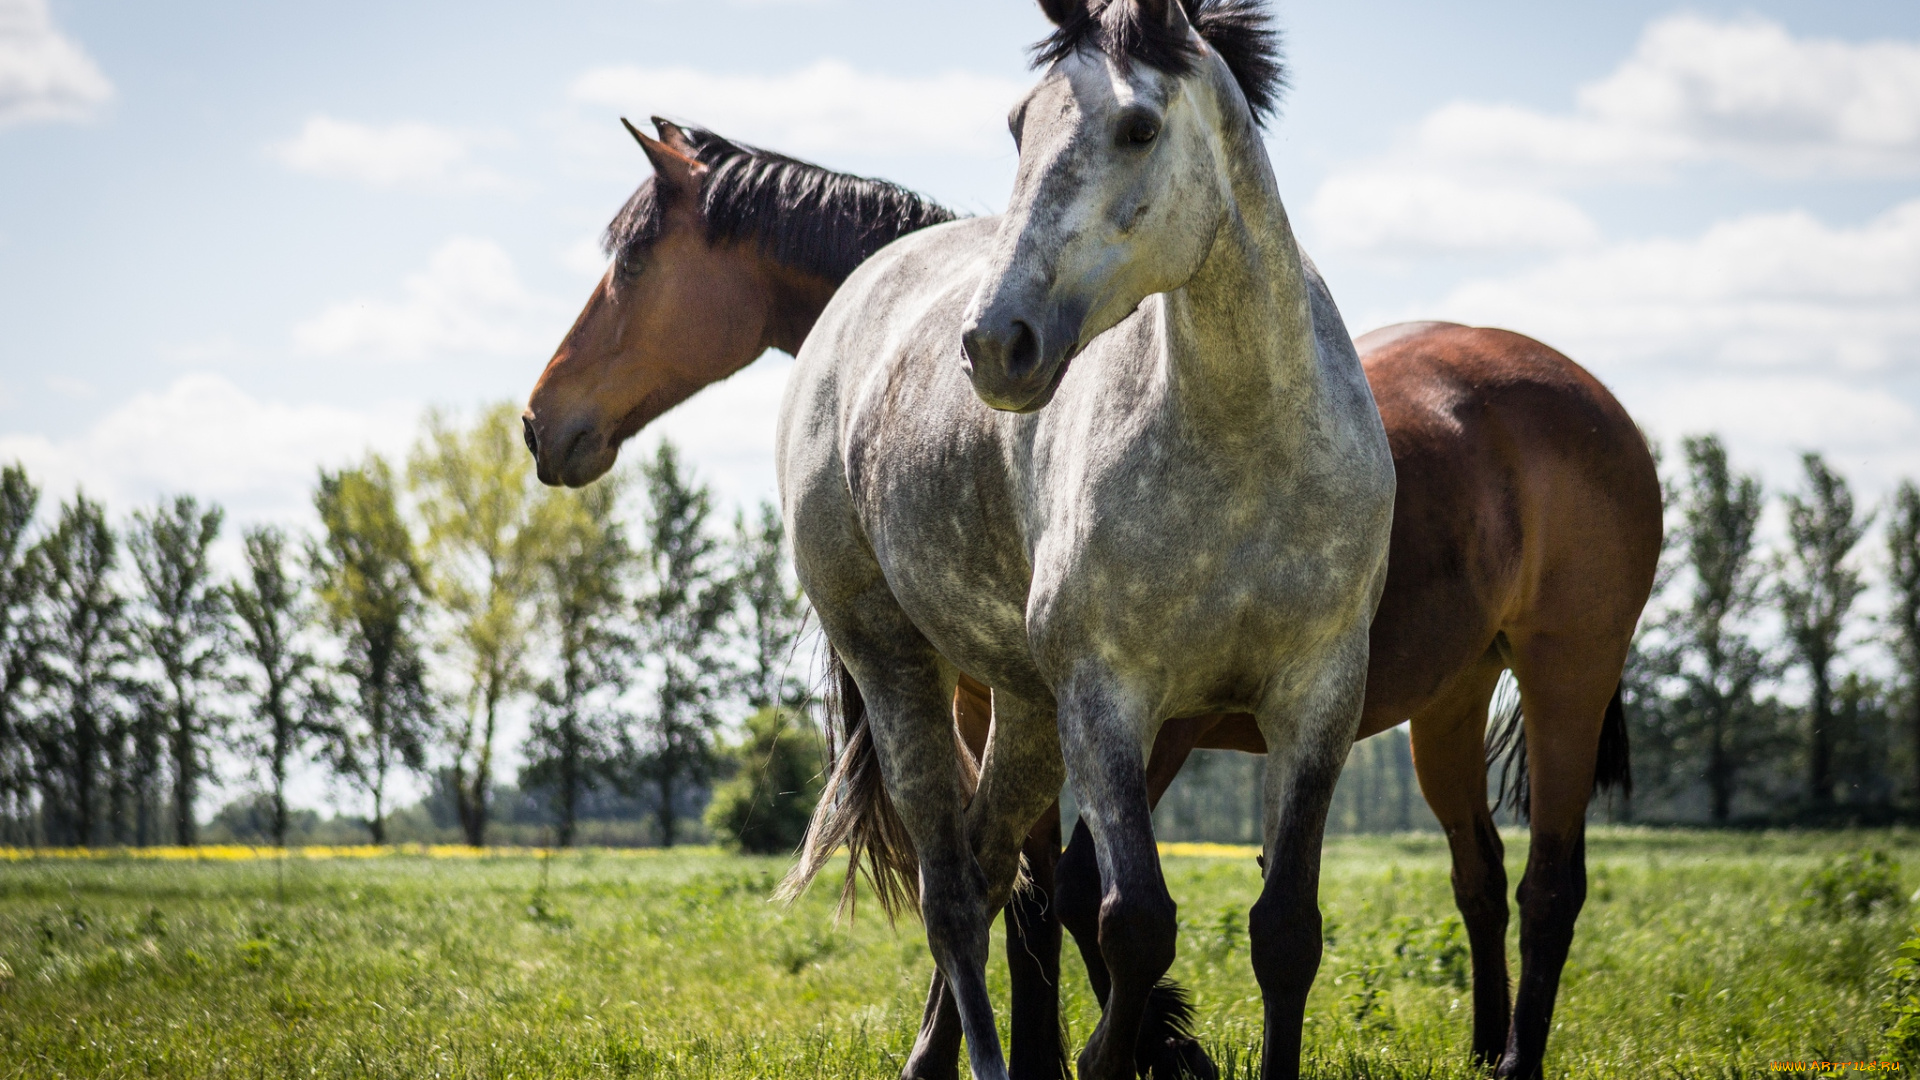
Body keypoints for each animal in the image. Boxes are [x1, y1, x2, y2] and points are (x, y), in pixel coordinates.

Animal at [518, 119, 1658, 1076]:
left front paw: (1129, 1048)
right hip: (1450, 705)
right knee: (1480, 876)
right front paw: (1013, 1051)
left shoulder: (1139, 722)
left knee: (1550, 886)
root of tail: (1584, 394)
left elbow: (1067, 895)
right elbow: (1015, 894)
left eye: (631, 262)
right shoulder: (1014, 706)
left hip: (1565, 674)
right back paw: (1485, 1046)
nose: (538, 421)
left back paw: (1517, 1060)